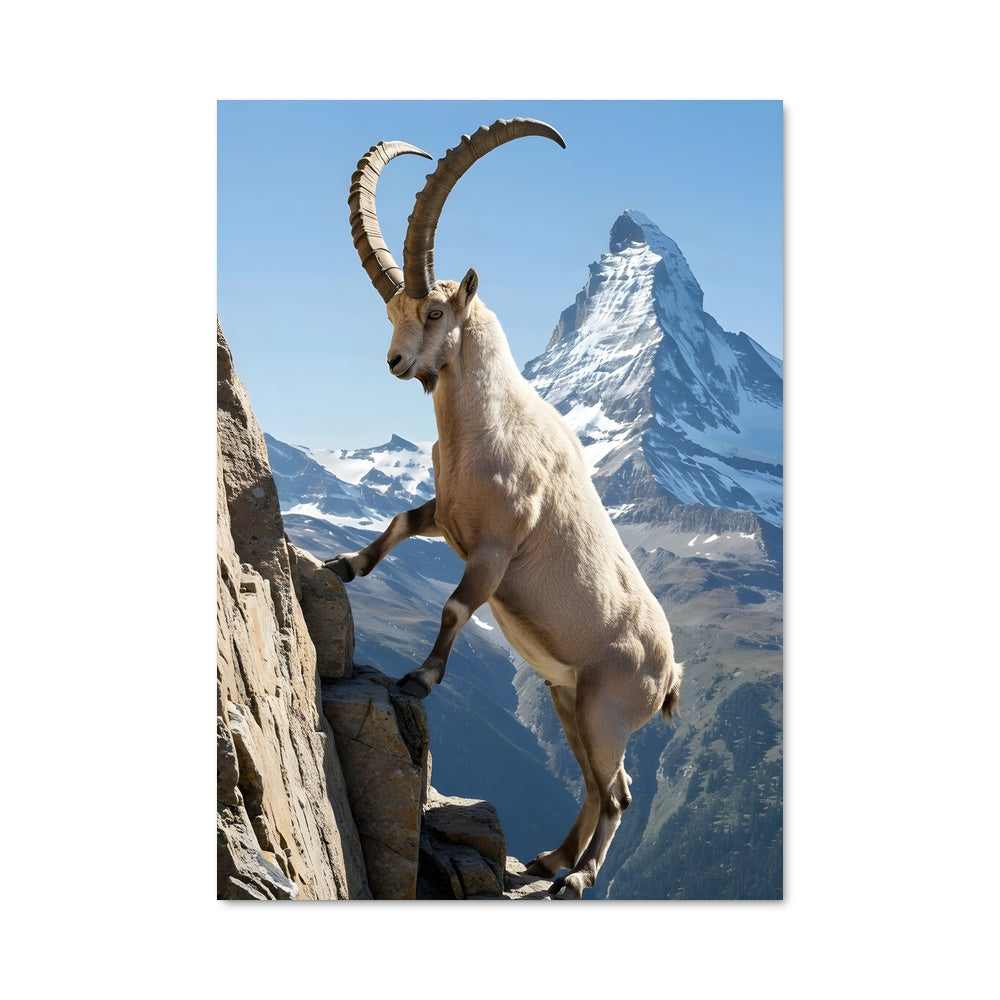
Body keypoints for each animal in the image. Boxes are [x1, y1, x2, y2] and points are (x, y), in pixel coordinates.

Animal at [327, 119, 682, 899]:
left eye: (434, 311)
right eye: (393, 311)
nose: (397, 364)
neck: (487, 426)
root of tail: (671, 671)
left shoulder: (494, 547)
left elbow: (456, 606)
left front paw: (419, 679)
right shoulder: (450, 517)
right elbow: (400, 522)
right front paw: (342, 566)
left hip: (608, 709)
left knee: (618, 794)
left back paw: (577, 878)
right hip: (567, 699)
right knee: (600, 786)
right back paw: (552, 859)